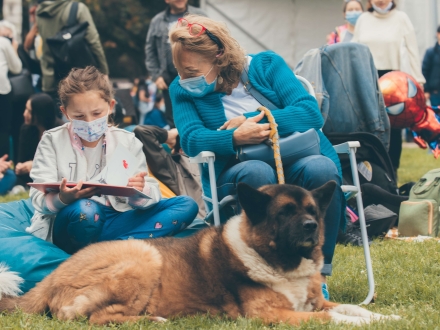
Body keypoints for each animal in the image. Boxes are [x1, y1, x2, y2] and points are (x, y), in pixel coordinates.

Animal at [0, 183, 398, 324]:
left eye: (311, 211)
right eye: (284, 213)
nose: (311, 227)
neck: (281, 264)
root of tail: (54, 273)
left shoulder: (318, 301)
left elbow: (353, 308)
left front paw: (386, 317)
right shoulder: (273, 316)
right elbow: (333, 318)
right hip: (144, 256)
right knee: (89, 318)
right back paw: (154, 320)